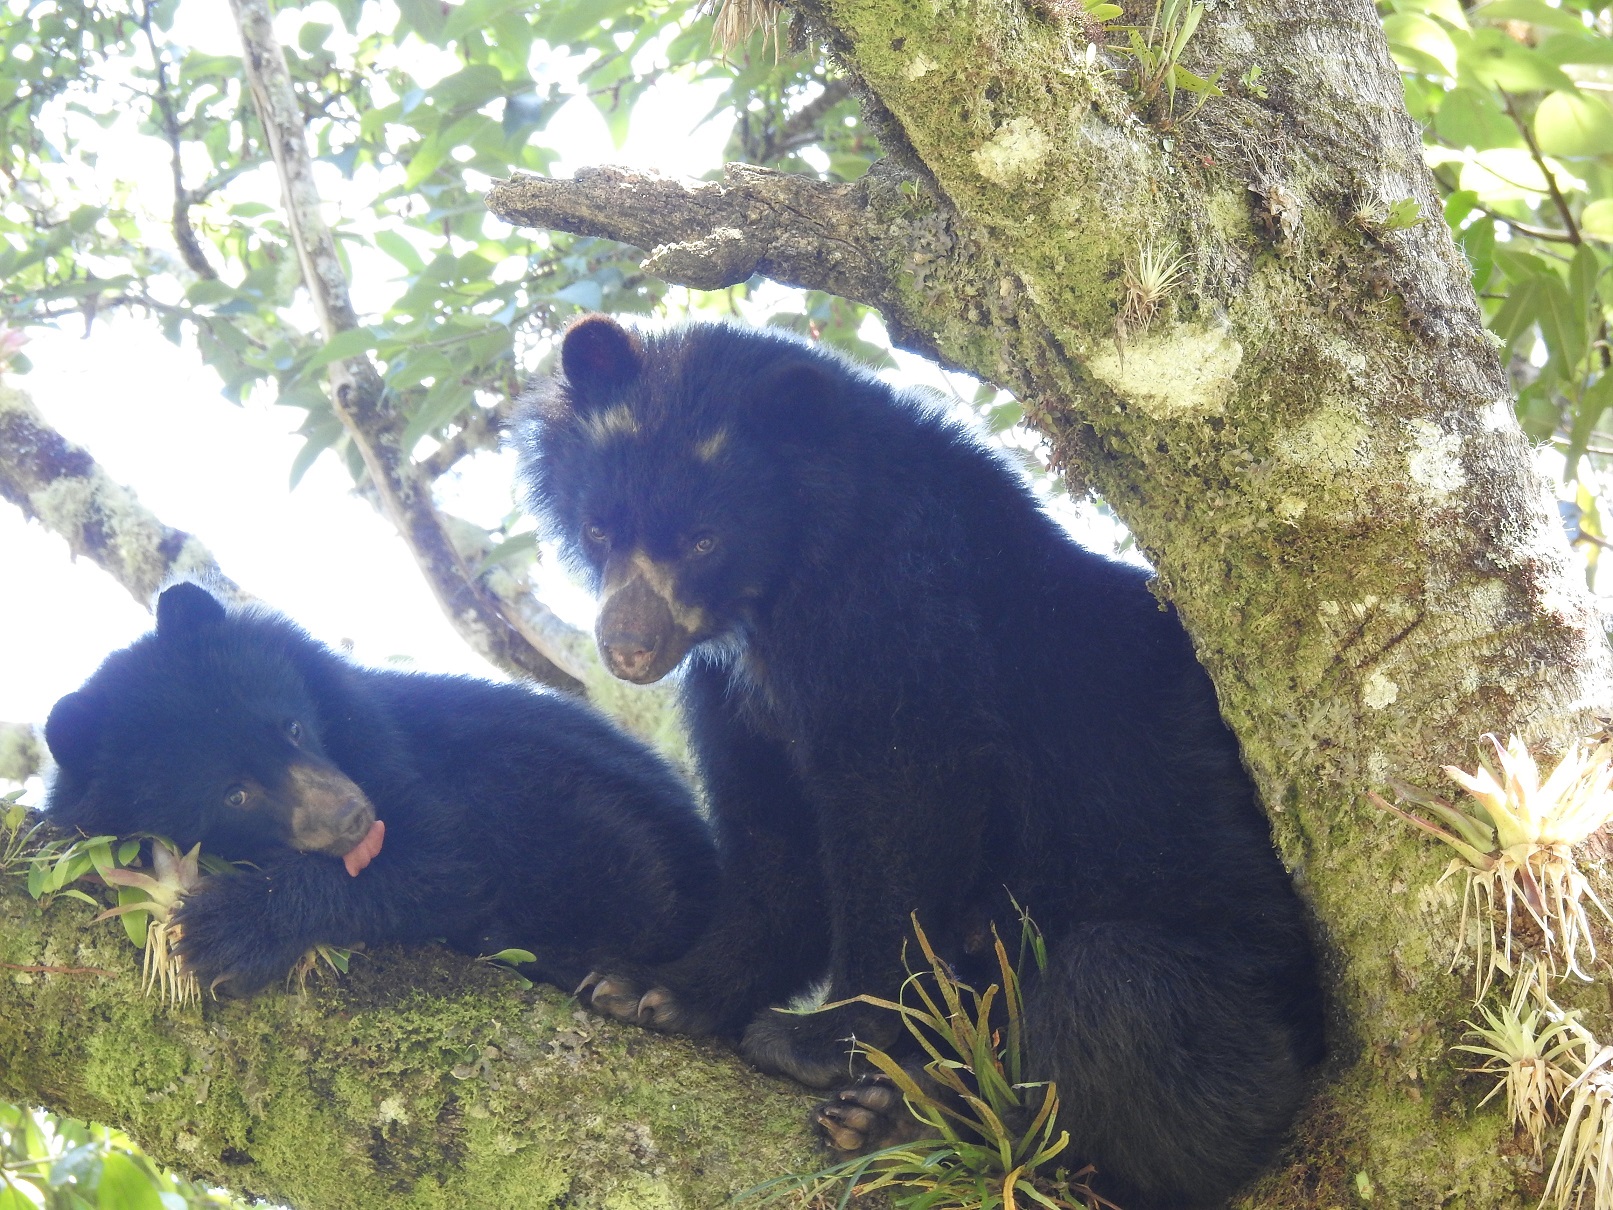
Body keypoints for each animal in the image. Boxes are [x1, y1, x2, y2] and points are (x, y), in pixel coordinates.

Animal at [44, 584, 716, 993]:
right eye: (233, 795)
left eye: (292, 726)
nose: (352, 818)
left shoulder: (373, 728)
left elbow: (445, 858)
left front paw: (225, 931)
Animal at [522, 314, 1329, 1210]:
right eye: (600, 528)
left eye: (703, 540)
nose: (627, 648)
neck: (783, 598)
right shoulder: (738, 697)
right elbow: (775, 847)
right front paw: (651, 989)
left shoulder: (905, 621)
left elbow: (902, 810)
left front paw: (818, 1041)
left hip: (1245, 1013)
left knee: (1117, 997)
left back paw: (929, 1125)